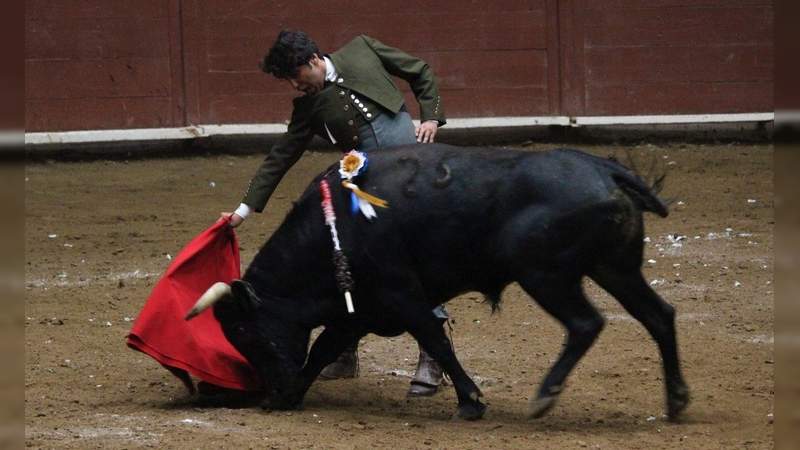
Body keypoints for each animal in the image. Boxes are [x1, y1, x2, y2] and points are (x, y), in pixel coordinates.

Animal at [186, 145, 688, 422]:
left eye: (243, 329)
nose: (269, 391)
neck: (334, 228)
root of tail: (606, 170)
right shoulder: (360, 309)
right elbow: (322, 349)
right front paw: (291, 396)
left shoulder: (400, 295)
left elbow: (435, 340)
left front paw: (471, 401)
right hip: (615, 268)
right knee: (659, 315)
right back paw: (677, 401)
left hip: (548, 276)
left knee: (586, 324)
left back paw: (544, 398)